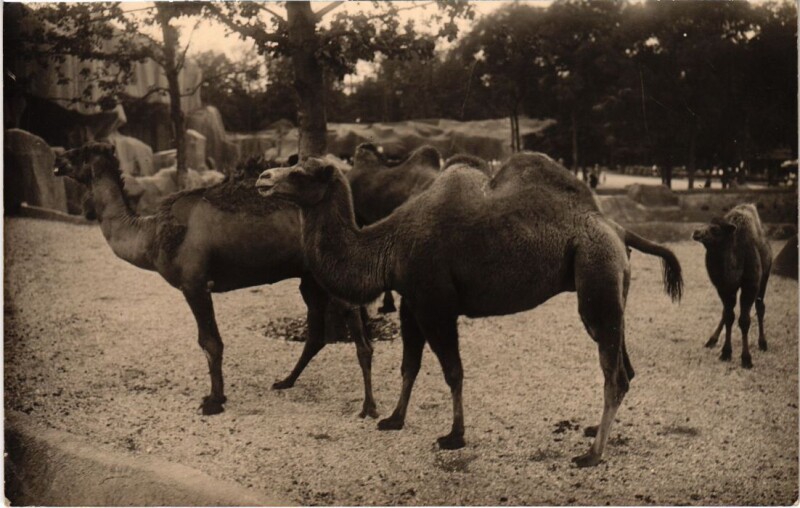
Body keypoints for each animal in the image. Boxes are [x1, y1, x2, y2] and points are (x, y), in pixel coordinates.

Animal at [53, 142, 378, 418]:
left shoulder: (194, 284)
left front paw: (213, 401)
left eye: (80, 152)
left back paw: (369, 408)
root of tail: (357, 219)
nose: (57, 161)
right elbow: (208, 341)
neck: (151, 236)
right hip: (310, 278)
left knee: (358, 333)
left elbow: (210, 342)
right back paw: (285, 381)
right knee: (316, 334)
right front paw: (216, 396)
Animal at [255, 152, 683, 467]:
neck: (388, 246)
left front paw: (454, 436)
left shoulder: (436, 302)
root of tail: (617, 227)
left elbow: (452, 371)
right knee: (624, 363)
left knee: (614, 372)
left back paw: (591, 455)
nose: (263, 178)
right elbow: (409, 365)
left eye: (301, 172)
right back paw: (594, 431)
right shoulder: (411, 302)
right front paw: (393, 419)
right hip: (611, 280)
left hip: (596, 270)